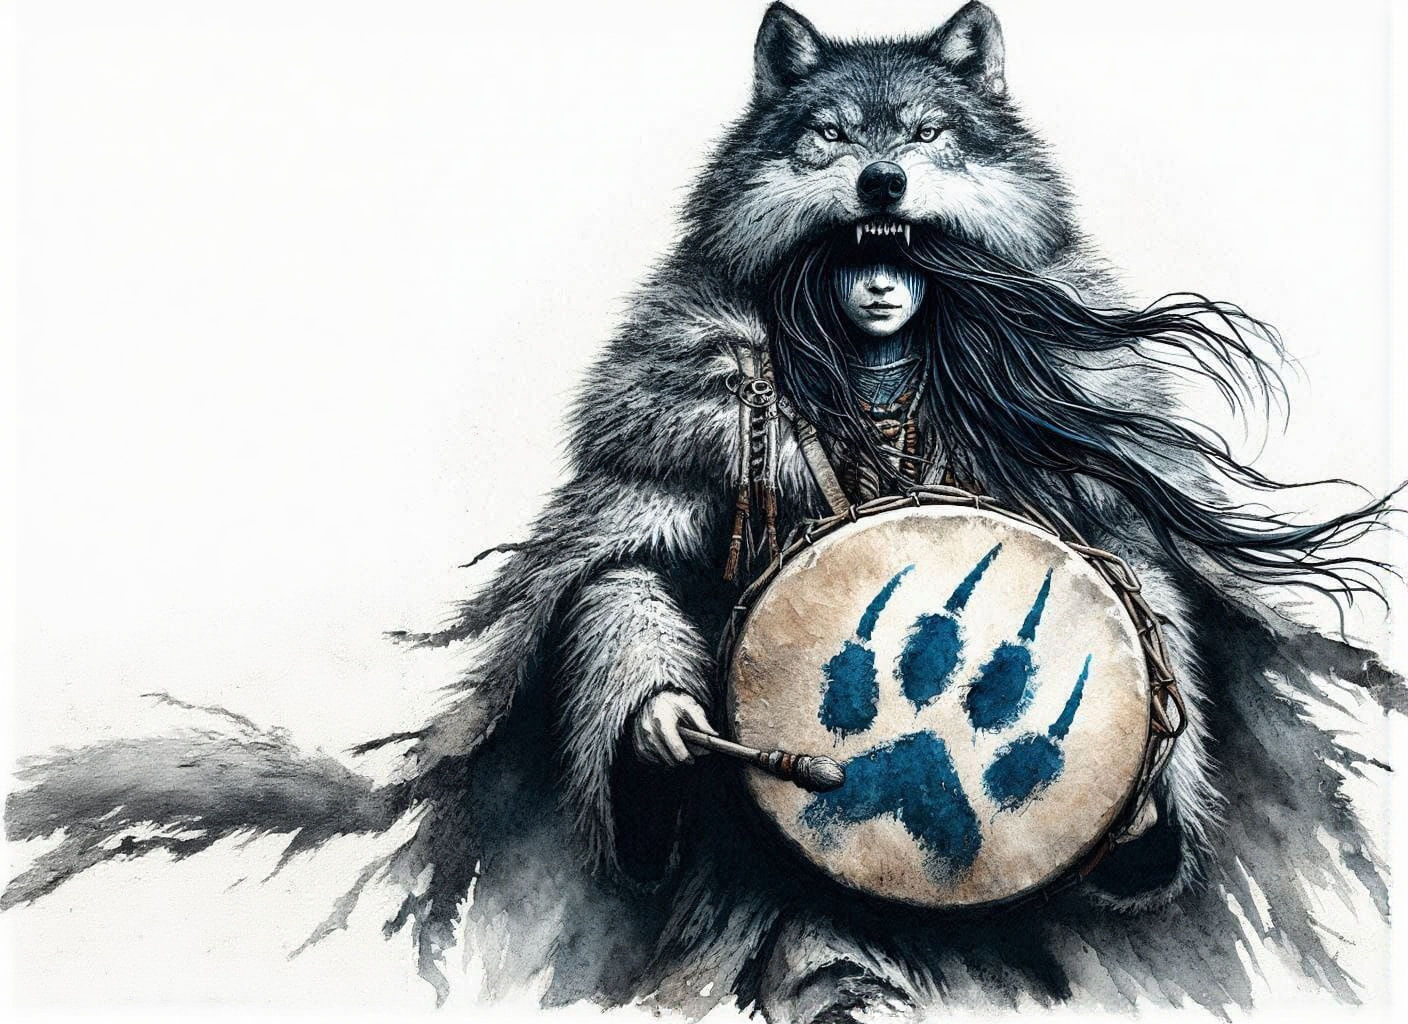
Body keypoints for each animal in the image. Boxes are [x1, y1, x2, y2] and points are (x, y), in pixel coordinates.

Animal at [6, 3, 1400, 1020]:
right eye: (824, 138)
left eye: (932, 136)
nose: (881, 186)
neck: (871, 358)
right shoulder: (663, 413)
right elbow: (624, 572)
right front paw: (661, 727)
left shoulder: (1097, 439)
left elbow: (1136, 559)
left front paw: (1150, 802)